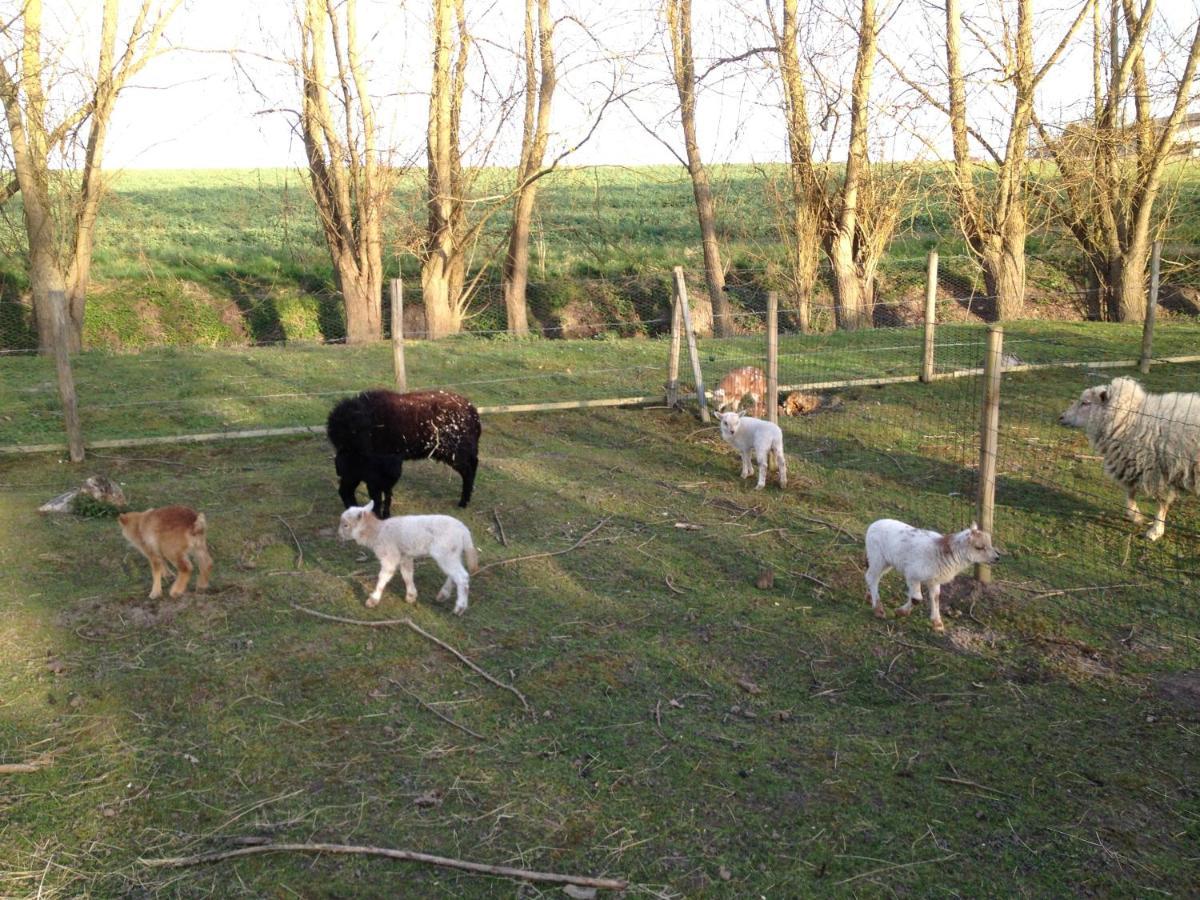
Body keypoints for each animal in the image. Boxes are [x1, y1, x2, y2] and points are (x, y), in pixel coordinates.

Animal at [328, 386, 482, 513]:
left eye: (354, 433)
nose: (339, 462)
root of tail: (473, 412)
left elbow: (377, 496)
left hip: (458, 452)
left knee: (468, 471)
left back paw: (463, 502)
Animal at [338, 504, 477, 619]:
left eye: (345, 525)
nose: (338, 534)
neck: (377, 532)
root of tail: (465, 531)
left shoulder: (389, 555)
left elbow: (383, 576)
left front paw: (373, 599)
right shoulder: (405, 556)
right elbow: (407, 574)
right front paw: (411, 596)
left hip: (445, 552)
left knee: (462, 576)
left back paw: (460, 608)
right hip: (454, 553)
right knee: (454, 574)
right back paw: (443, 594)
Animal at [868, 518, 998, 638]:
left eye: (990, 544)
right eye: (979, 547)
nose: (997, 557)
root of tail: (874, 523)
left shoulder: (934, 579)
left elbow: (935, 597)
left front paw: (937, 624)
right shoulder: (912, 573)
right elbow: (916, 599)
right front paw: (901, 612)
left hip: (886, 562)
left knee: (871, 575)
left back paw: (868, 597)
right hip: (877, 556)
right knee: (872, 577)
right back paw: (878, 610)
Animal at [1060, 374, 1200, 542]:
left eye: (1085, 403)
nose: (1061, 417)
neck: (1129, 420)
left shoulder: (1154, 471)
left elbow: (1161, 503)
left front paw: (1155, 531)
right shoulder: (1134, 464)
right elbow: (1130, 492)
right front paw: (1135, 516)